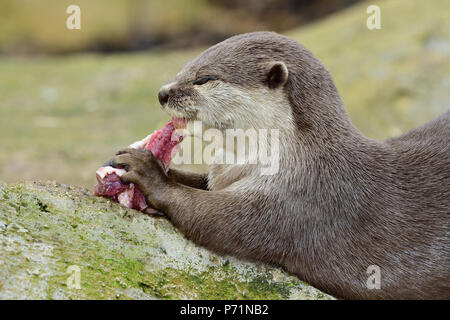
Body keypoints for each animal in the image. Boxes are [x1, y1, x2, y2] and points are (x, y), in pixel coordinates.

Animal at [110, 31, 450, 298]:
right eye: (183, 68)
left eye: (204, 78)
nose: (162, 93)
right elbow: (203, 181)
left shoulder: (301, 198)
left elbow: (214, 219)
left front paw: (149, 171)